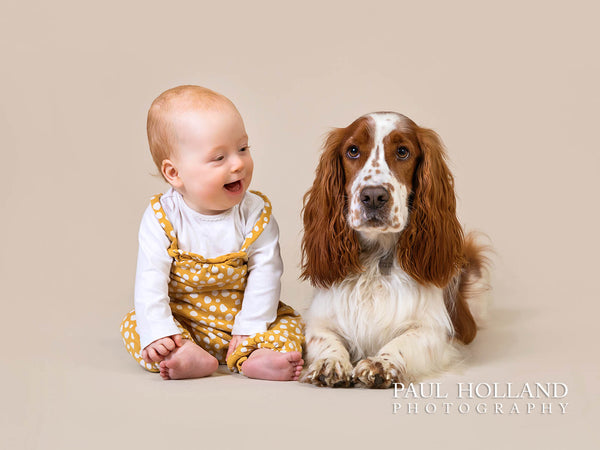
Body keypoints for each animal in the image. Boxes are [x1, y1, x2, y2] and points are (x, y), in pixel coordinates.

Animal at [302, 111, 490, 386]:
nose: (373, 197)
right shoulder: (320, 321)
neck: (377, 260)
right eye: (353, 151)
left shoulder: (435, 331)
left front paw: (381, 363)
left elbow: (405, 341)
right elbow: (325, 338)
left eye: (403, 151)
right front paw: (330, 362)